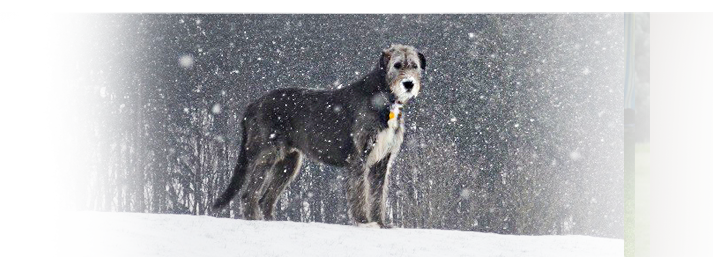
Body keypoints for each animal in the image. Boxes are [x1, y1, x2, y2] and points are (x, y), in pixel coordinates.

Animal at [211, 44, 422, 228]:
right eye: (397, 65)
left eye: (414, 65)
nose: (408, 84)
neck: (383, 96)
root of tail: (252, 105)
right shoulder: (358, 158)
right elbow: (360, 193)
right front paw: (364, 222)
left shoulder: (382, 162)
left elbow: (378, 196)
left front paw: (381, 224)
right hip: (267, 153)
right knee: (249, 195)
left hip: (289, 162)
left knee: (265, 200)